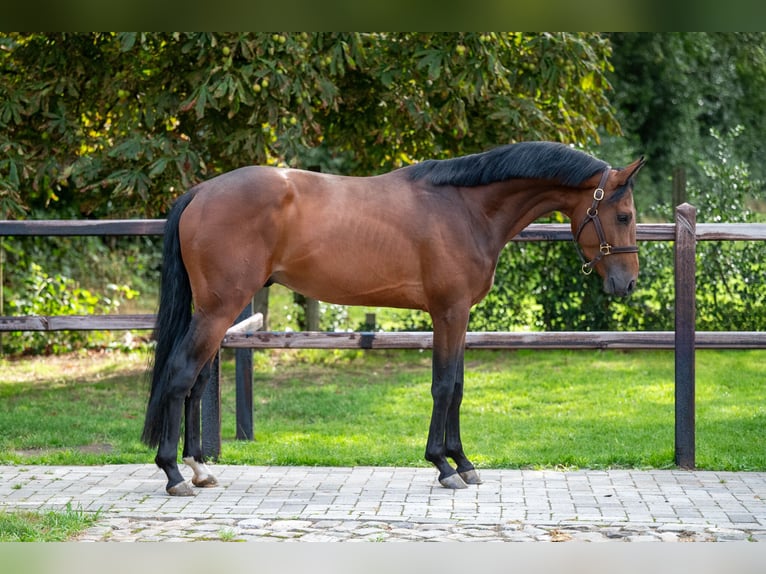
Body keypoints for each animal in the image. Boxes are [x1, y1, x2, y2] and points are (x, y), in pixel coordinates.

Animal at [141, 142, 644, 498]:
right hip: (218, 310)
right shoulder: (448, 312)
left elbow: (458, 386)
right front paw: (443, 465)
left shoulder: (459, 315)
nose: (628, 283)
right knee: (180, 375)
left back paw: (200, 468)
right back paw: (174, 473)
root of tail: (201, 192)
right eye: (623, 215)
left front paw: (464, 462)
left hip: (215, 313)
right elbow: (444, 386)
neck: (464, 208)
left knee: (196, 384)